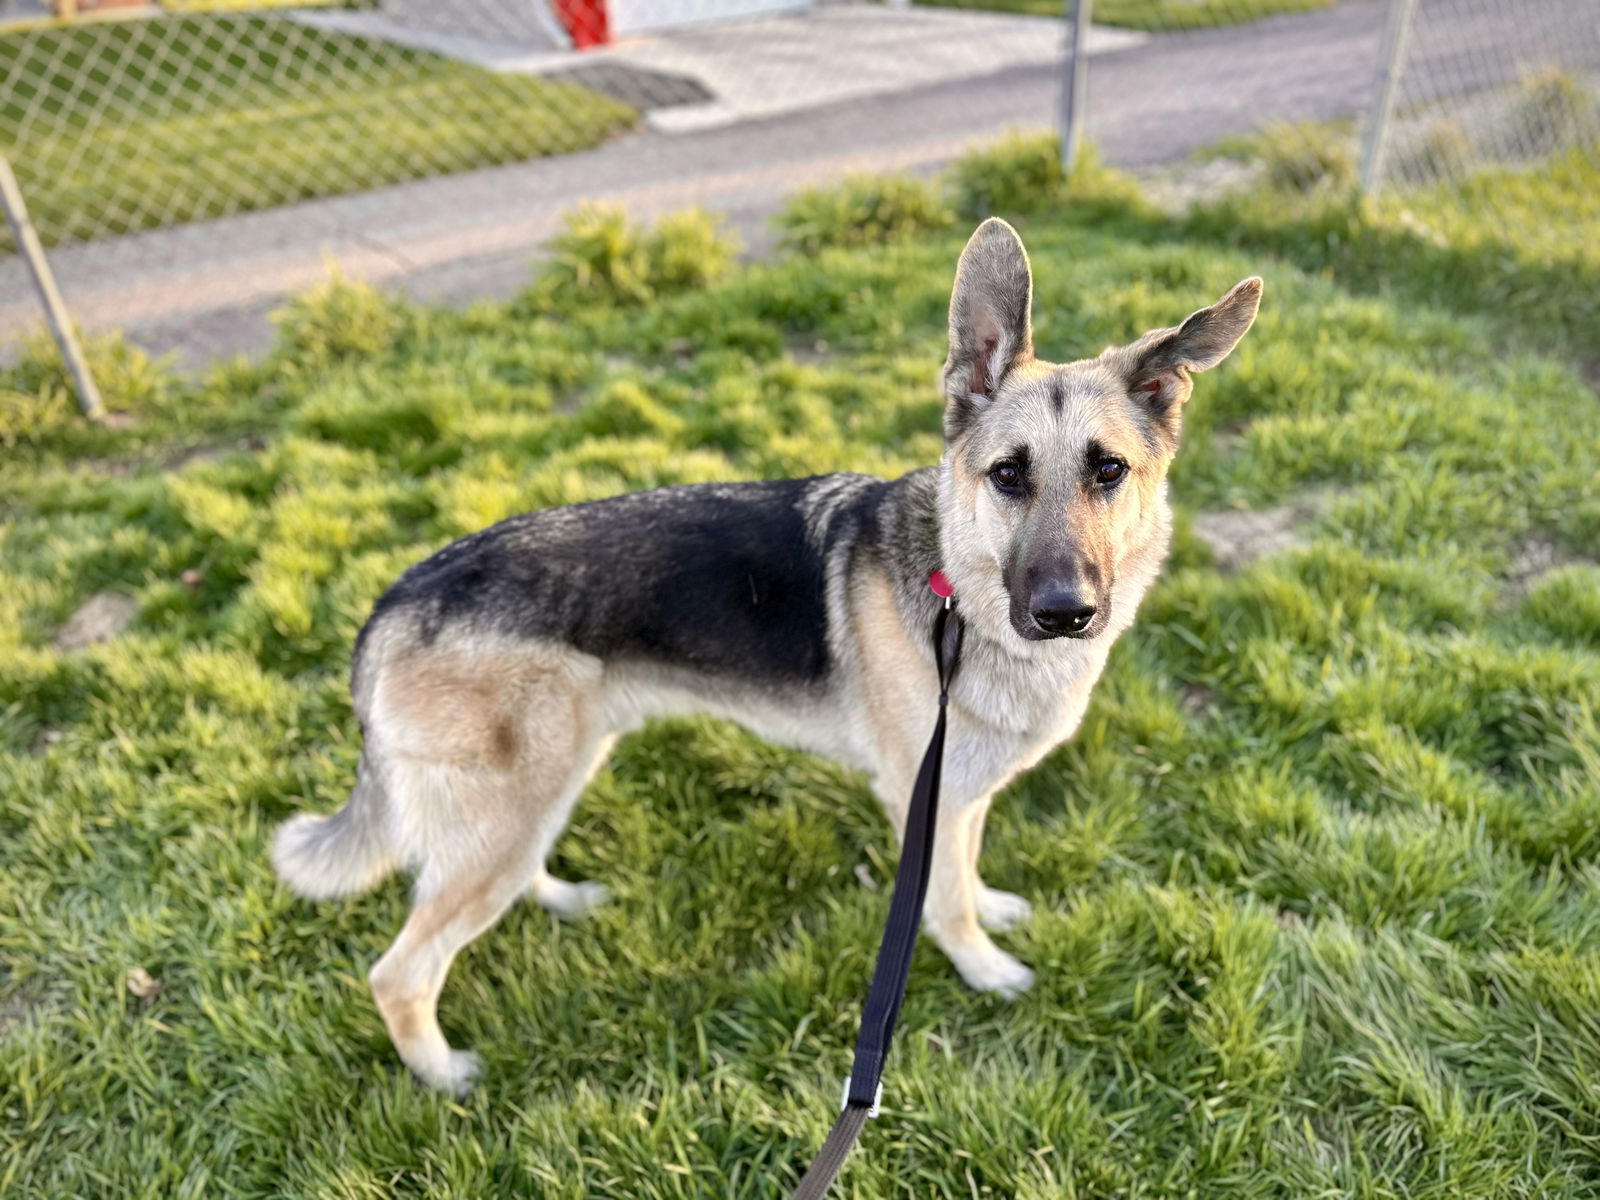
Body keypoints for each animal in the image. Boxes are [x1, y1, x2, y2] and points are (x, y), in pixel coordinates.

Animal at [272, 219, 1260, 1100]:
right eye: (1009, 476)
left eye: (1108, 472)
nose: (1065, 614)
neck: (958, 592)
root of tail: (394, 601)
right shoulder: (922, 798)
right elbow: (940, 900)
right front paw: (983, 966)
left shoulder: (960, 792)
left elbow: (968, 867)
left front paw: (991, 910)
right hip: (510, 808)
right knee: (400, 971)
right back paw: (443, 1077)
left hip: (544, 784)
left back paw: (557, 902)